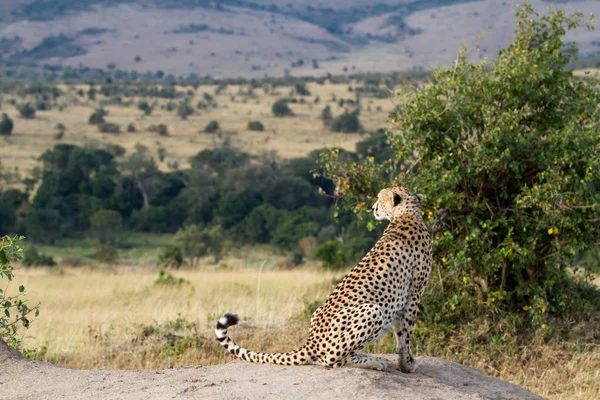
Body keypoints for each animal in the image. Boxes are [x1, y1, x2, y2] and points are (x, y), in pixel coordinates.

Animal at [216, 185, 432, 372]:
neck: (407, 214)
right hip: (373, 310)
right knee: (332, 359)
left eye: (380, 198)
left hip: (321, 313)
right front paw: (407, 364)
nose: (373, 208)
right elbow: (406, 332)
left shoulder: (410, 292)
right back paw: (373, 361)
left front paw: (405, 362)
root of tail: (311, 341)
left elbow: (401, 331)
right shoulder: (415, 290)